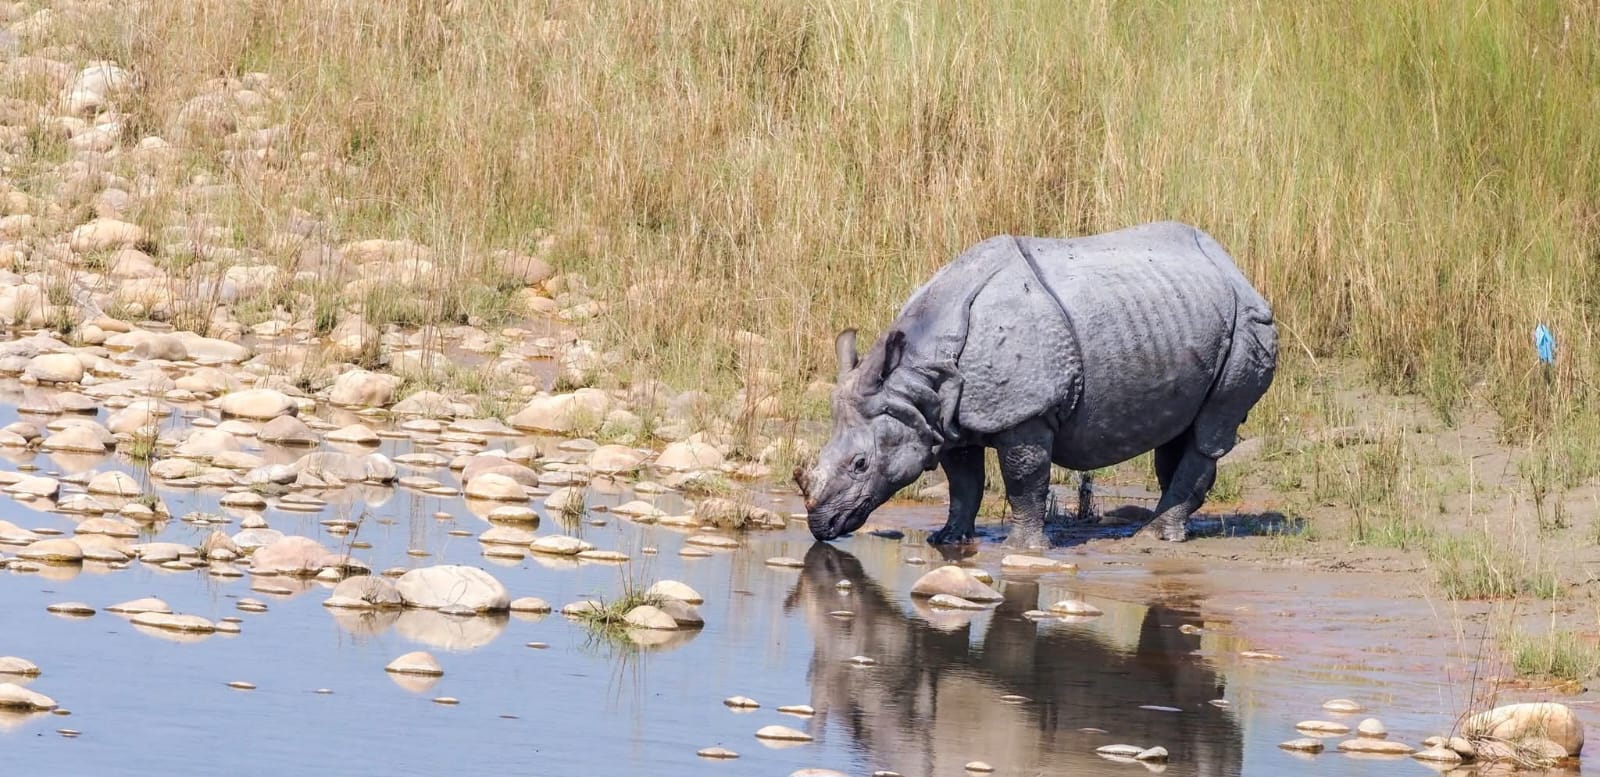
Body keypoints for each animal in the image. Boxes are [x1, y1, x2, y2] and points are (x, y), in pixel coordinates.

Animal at [794, 221, 1278, 548]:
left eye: (861, 464)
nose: (821, 527)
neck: (916, 374)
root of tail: (1234, 267)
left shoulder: (1025, 411)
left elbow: (1024, 478)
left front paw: (1022, 548)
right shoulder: (943, 415)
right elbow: (963, 483)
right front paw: (947, 540)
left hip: (1250, 324)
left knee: (1209, 431)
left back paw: (1152, 535)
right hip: (1187, 315)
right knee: (1179, 431)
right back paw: (1164, 527)